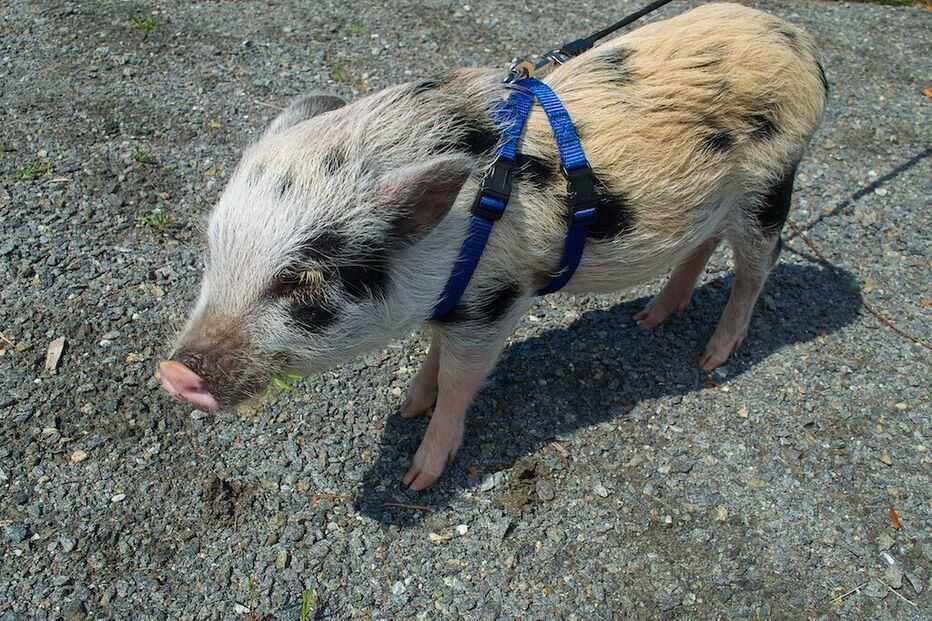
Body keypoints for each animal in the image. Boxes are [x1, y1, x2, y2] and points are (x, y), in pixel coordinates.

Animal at [158, 3, 827, 489]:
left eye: (304, 281)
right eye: (214, 252)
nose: (173, 371)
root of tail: (803, 44)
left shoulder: (495, 300)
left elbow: (462, 381)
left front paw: (418, 477)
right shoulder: (454, 300)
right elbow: (434, 358)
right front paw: (408, 406)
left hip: (770, 185)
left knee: (758, 266)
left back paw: (711, 358)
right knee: (702, 247)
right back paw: (648, 320)